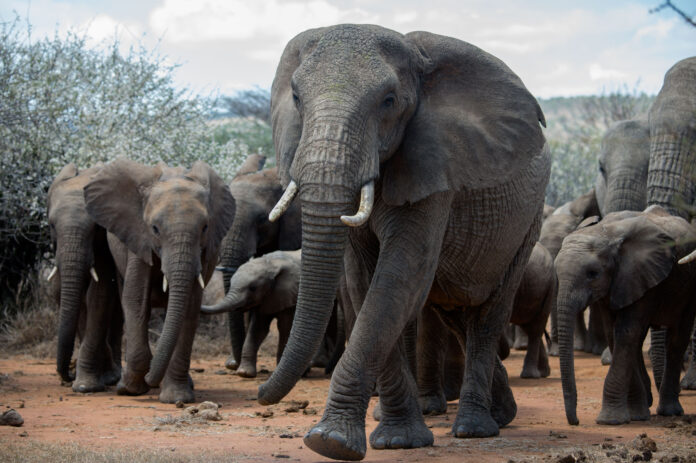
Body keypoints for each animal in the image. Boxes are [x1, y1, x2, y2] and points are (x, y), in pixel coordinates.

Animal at [47, 163, 122, 392]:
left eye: (96, 227)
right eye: (51, 225)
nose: (67, 374)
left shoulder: (104, 247)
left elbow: (99, 295)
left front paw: (85, 386)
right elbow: (71, 297)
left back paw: (113, 376)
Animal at [83, 159, 235, 403]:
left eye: (205, 228)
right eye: (154, 229)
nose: (150, 381)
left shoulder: (203, 252)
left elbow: (190, 306)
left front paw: (176, 398)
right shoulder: (138, 238)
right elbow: (136, 299)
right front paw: (129, 389)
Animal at [201, 250, 345, 378]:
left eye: (253, 288)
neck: (270, 263)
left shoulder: (290, 296)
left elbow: (285, 328)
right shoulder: (267, 297)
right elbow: (259, 329)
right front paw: (244, 373)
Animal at [256, 25, 549, 461]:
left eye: (389, 101)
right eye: (295, 97)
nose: (260, 392)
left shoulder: (435, 166)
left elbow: (397, 277)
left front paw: (330, 442)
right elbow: (365, 283)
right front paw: (394, 439)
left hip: (528, 224)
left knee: (486, 314)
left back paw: (475, 429)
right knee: (453, 308)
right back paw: (503, 413)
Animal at [555, 206, 696, 426]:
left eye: (593, 274)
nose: (575, 421)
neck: (605, 233)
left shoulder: (639, 275)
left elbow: (626, 332)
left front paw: (611, 420)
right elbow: (615, 334)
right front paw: (636, 414)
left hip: (689, 287)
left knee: (677, 338)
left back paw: (669, 412)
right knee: (638, 341)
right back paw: (648, 403)